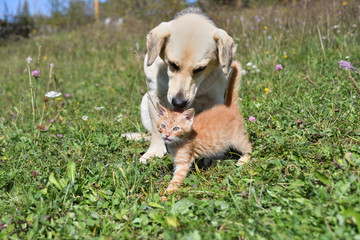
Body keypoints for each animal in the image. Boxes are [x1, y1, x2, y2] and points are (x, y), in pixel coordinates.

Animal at [133, 7, 236, 163]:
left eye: (200, 69)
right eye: (172, 64)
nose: (178, 102)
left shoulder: (215, 99)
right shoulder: (154, 96)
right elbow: (157, 127)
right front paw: (154, 151)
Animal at [156, 62, 252, 193]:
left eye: (175, 128)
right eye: (163, 126)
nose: (166, 135)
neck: (178, 142)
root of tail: (228, 107)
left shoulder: (183, 163)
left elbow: (176, 180)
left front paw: (166, 194)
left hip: (236, 138)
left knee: (248, 146)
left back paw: (243, 159)